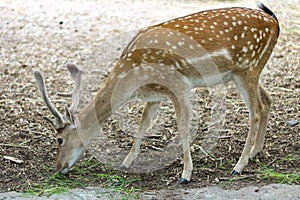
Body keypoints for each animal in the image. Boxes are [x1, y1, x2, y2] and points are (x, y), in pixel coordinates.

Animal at [34, 2, 280, 184]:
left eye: (59, 140)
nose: (58, 167)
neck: (132, 78)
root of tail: (274, 22)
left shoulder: (179, 85)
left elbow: (183, 127)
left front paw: (185, 175)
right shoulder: (156, 94)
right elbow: (143, 122)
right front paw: (126, 162)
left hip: (247, 68)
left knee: (255, 110)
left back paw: (239, 166)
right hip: (245, 72)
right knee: (267, 100)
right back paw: (255, 152)